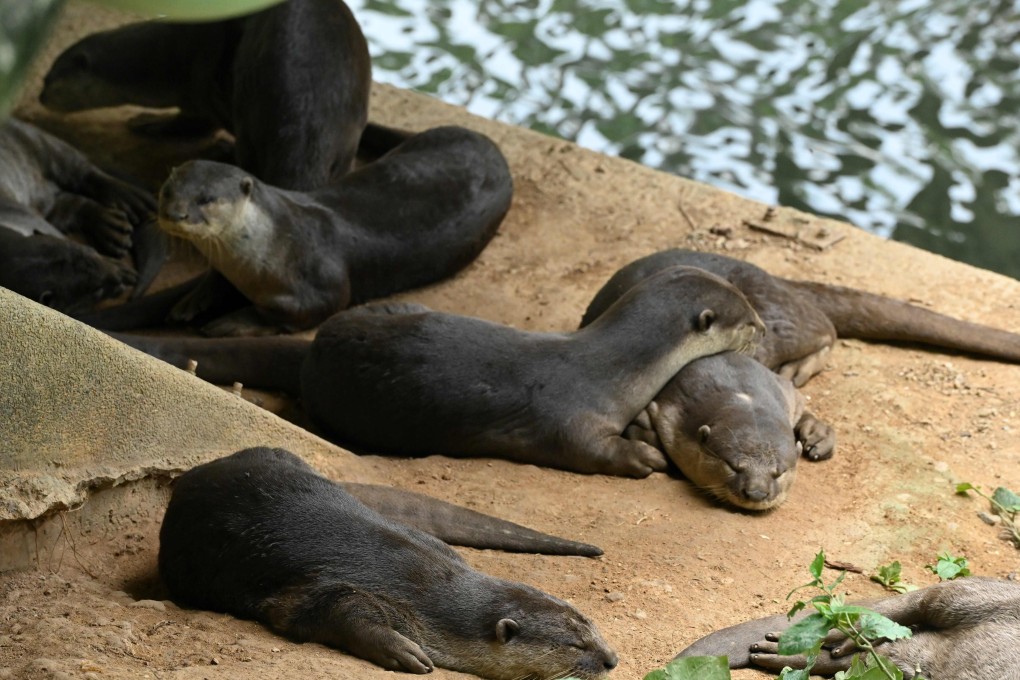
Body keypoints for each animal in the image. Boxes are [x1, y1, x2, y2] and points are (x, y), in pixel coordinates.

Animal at [41, 0, 371, 190]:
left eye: (48, 79)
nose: (40, 97)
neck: (166, 57)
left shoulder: (198, 82)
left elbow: (194, 123)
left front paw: (148, 122)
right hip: (348, 137)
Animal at [109, 266, 764, 476]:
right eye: (742, 314)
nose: (762, 327)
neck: (609, 367)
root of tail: (317, 348)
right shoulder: (571, 418)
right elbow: (595, 452)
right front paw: (644, 454)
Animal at [160, 447, 619, 679]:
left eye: (595, 630)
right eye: (576, 646)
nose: (612, 660)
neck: (429, 590)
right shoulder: (322, 587)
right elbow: (325, 608)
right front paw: (400, 649)